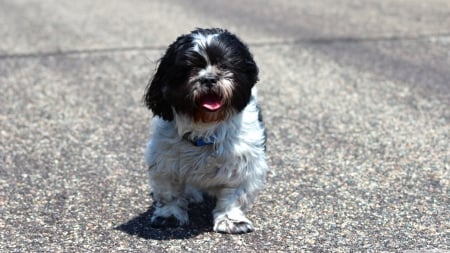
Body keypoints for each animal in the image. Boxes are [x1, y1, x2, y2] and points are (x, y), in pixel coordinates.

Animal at [144, 27, 268, 233]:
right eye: (189, 68)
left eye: (224, 65)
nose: (209, 78)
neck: (206, 128)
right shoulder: (165, 160)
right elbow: (169, 192)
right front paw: (169, 216)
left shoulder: (242, 162)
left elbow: (235, 195)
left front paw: (232, 221)